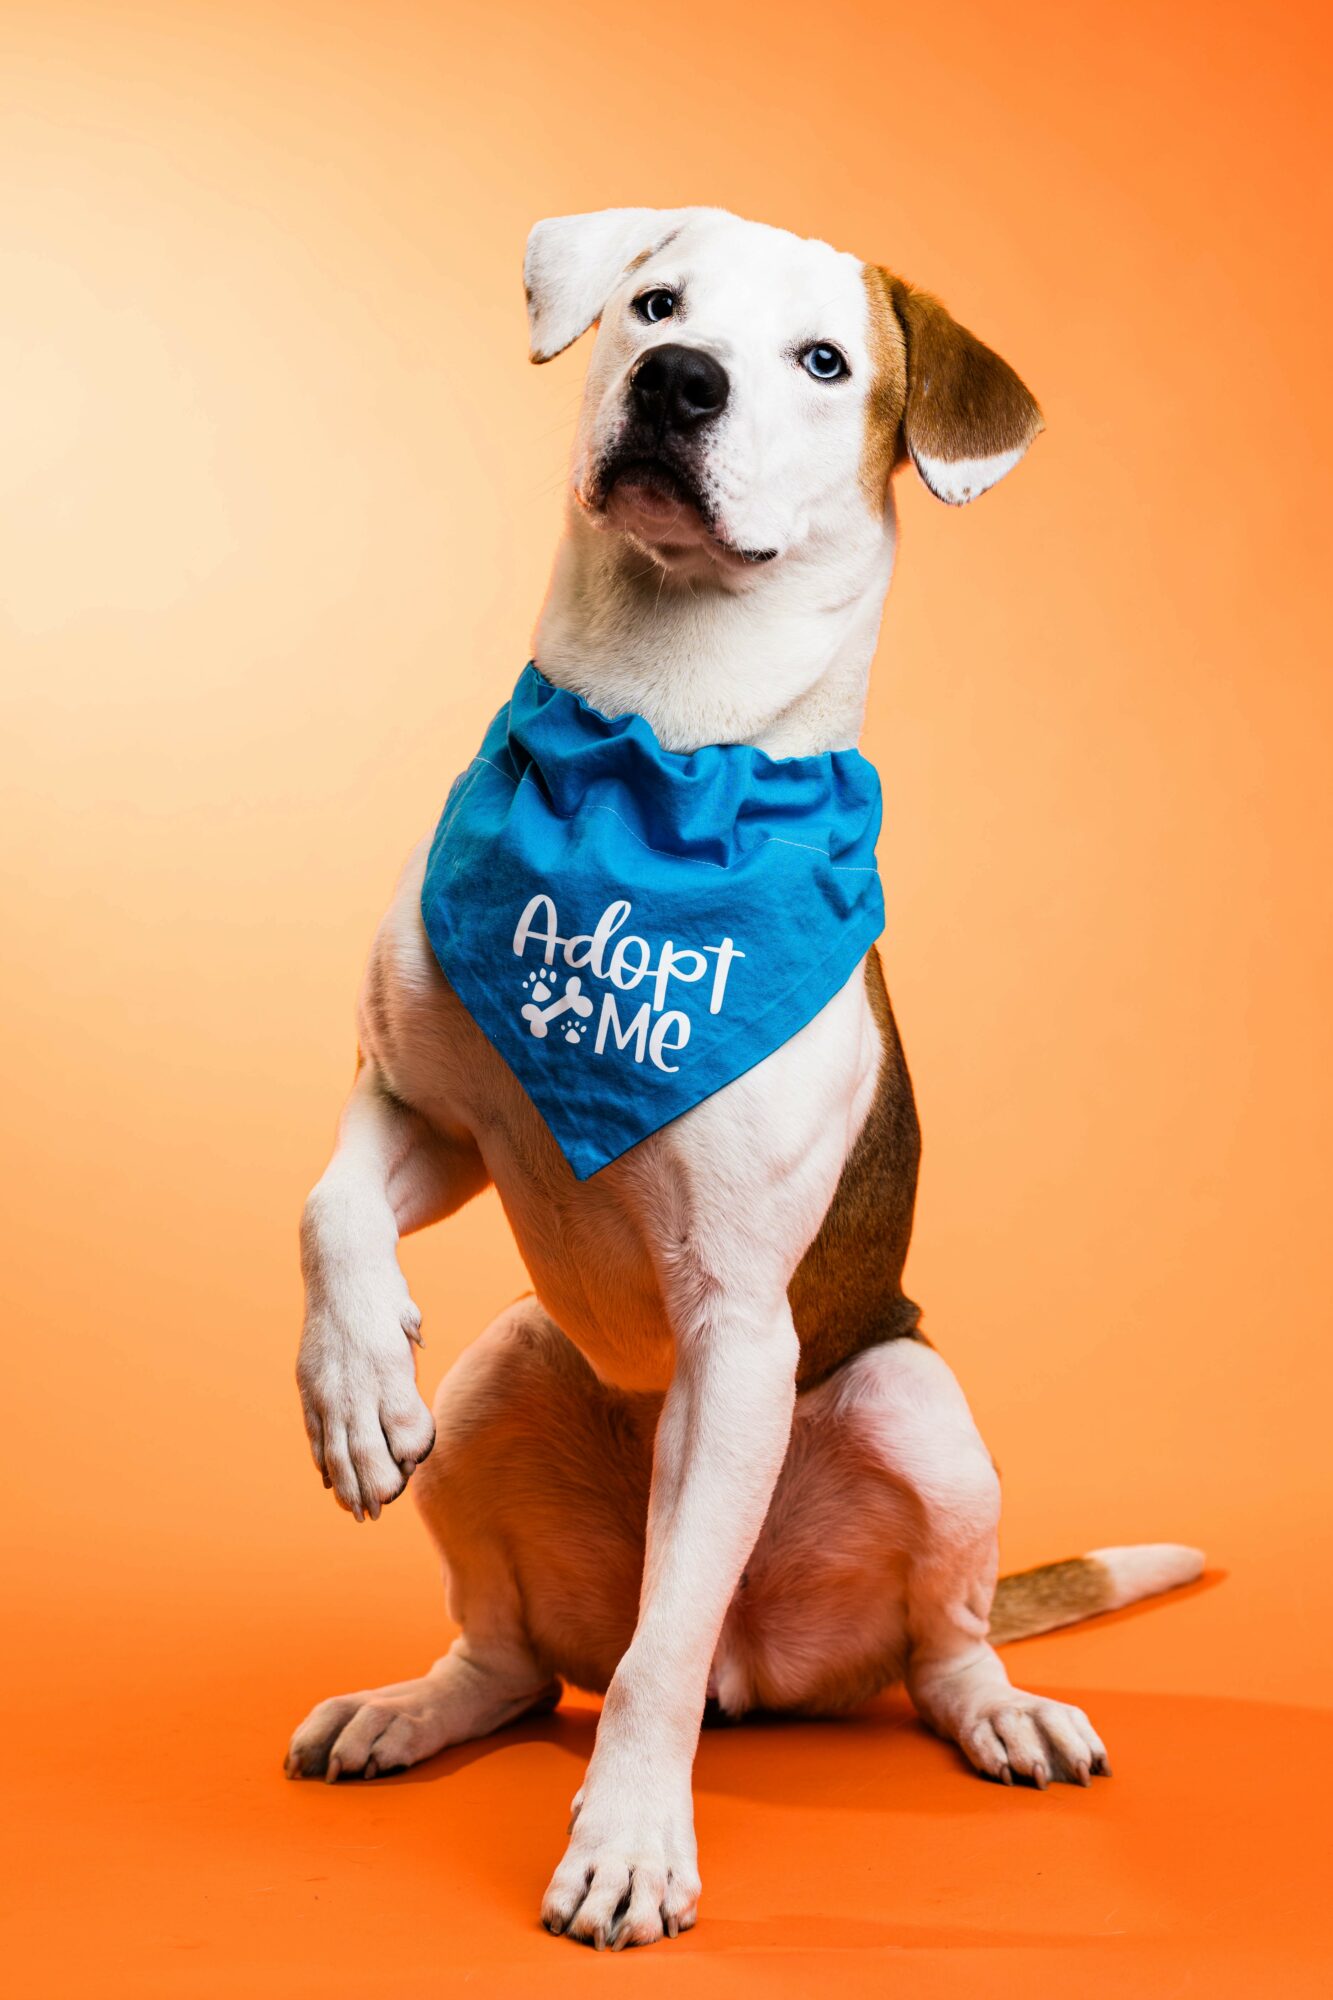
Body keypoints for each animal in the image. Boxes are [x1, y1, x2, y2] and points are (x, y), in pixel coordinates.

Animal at [286, 206, 1203, 1951]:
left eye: (826, 361)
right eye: (654, 306)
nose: (680, 382)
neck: (657, 743)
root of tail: (763, 1672)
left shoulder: (735, 1316)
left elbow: (649, 1665)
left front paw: (630, 1844)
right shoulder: (433, 1108)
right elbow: (331, 1204)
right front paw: (355, 1385)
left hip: (915, 1410)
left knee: (902, 1638)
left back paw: (997, 1712)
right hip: (505, 1374)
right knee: (517, 1657)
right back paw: (410, 1708)